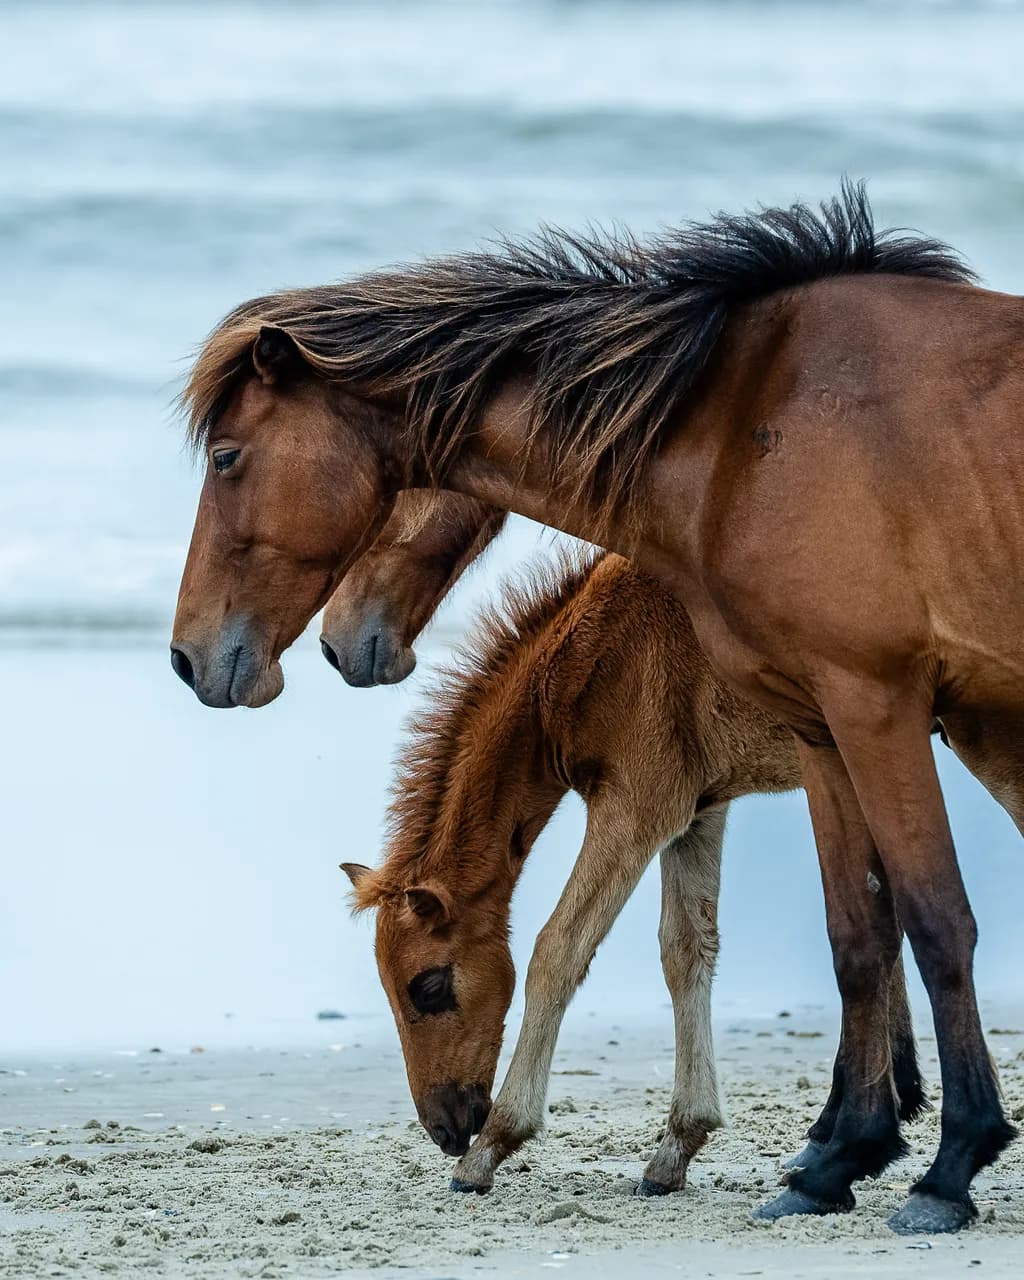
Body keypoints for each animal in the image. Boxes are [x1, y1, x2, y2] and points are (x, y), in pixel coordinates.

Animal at [341, 549, 925, 1196]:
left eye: (429, 986)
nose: (445, 1127)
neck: (582, 661)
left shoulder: (638, 805)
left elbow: (559, 949)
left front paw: (493, 1146)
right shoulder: (700, 808)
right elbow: (687, 947)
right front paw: (679, 1145)